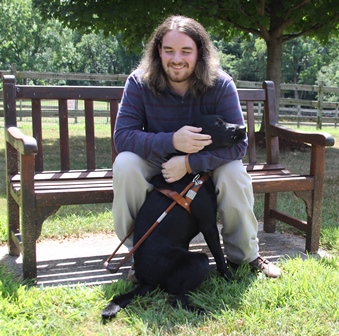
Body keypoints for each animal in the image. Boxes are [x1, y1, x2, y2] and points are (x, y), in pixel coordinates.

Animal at [101, 114, 247, 316]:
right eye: (218, 124)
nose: (244, 128)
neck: (192, 177)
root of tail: (147, 281)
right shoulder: (208, 225)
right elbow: (219, 256)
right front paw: (229, 277)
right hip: (199, 261)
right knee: (177, 300)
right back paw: (199, 310)